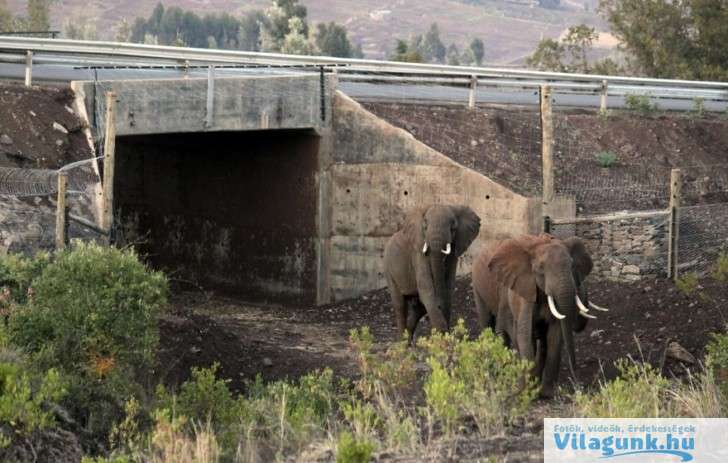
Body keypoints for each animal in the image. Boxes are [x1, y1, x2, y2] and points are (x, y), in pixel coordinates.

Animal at [384, 205, 480, 342]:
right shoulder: (418, 252)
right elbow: (426, 288)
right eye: (425, 227)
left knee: (419, 307)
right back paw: (402, 342)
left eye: (453, 228)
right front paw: (443, 338)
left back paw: (408, 339)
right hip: (388, 269)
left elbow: (448, 288)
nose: (439, 306)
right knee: (400, 304)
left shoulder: (454, 250)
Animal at [470, 236, 604, 398]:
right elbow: (524, 335)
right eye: (540, 269)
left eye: (572, 265)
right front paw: (526, 393)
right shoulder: (524, 291)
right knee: (488, 325)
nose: (578, 385)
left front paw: (547, 394)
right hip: (478, 287)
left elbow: (554, 336)